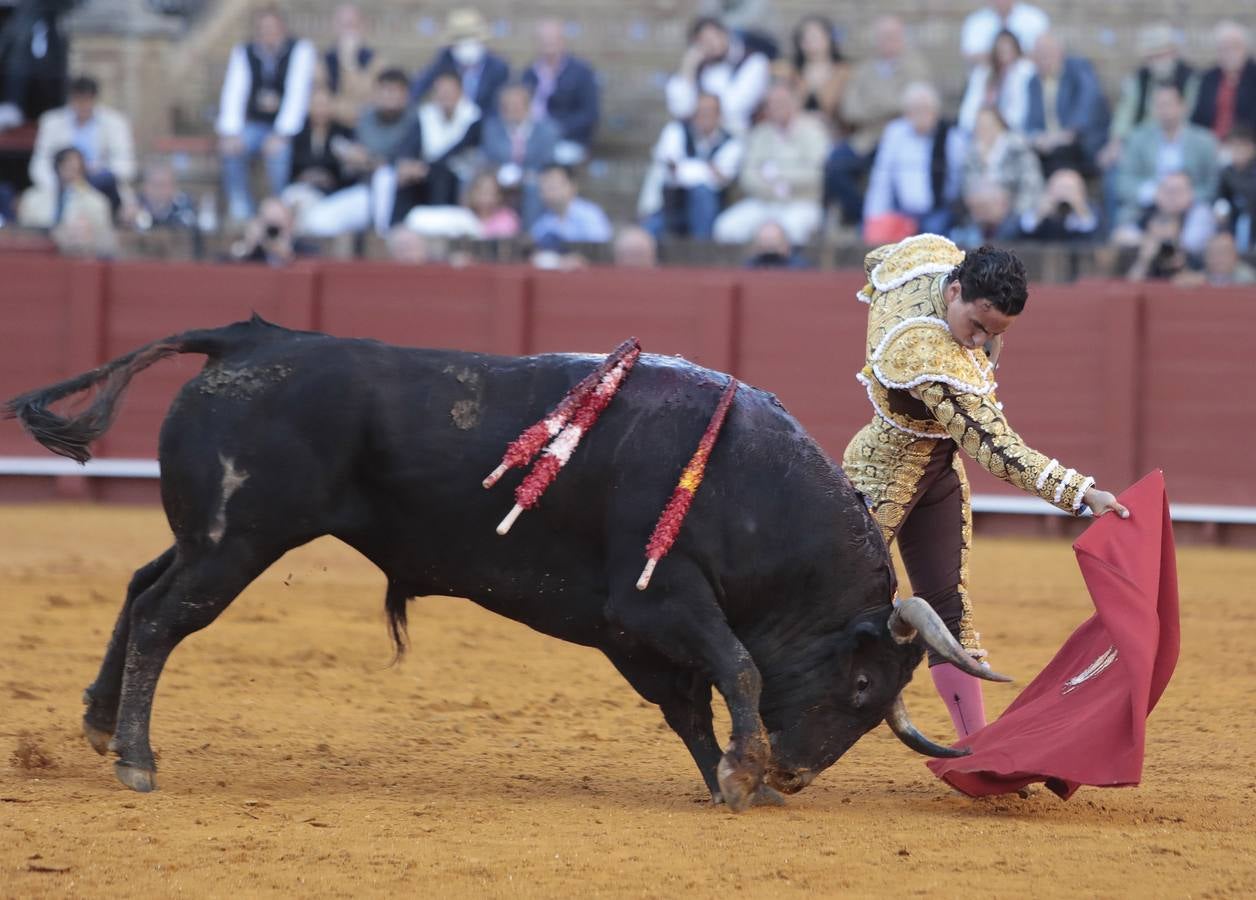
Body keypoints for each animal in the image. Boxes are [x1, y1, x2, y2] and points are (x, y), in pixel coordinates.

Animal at [0, 313, 999, 808]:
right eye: (864, 689)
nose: (796, 774)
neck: (750, 491)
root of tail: (257, 338)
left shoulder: (628, 632)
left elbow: (689, 701)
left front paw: (730, 778)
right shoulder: (655, 603)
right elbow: (739, 667)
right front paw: (745, 770)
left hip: (209, 535)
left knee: (141, 588)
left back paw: (97, 724)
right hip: (238, 541)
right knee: (163, 616)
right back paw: (136, 759)